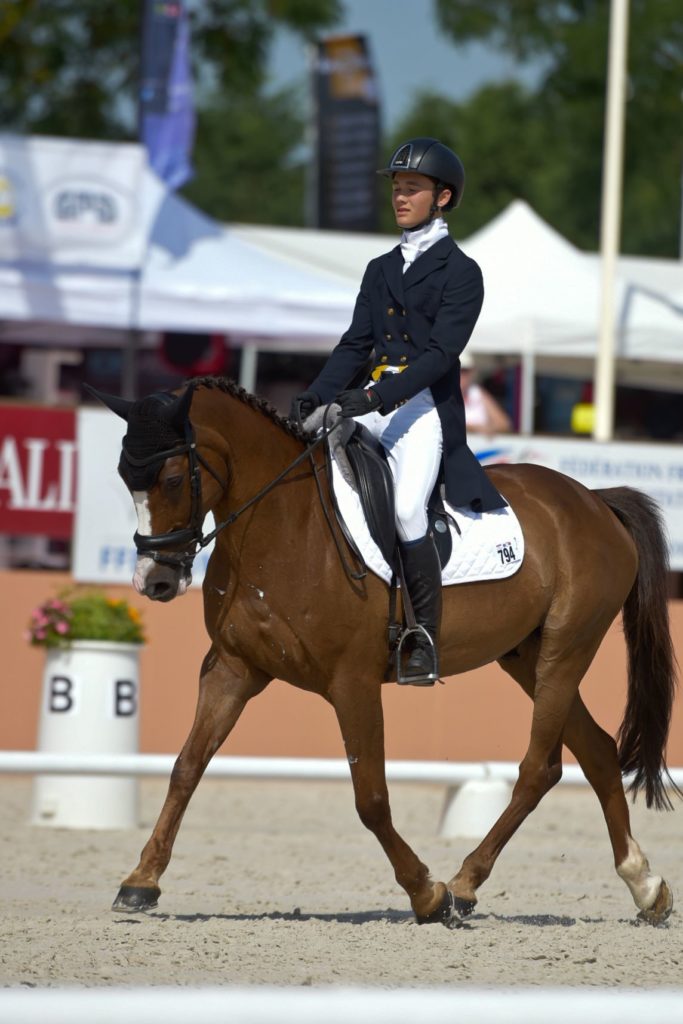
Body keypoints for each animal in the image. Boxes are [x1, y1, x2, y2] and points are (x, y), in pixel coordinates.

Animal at [89, 376, 679, 929]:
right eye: (122, 476)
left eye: (171, 479)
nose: (154, 581)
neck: (283, 524)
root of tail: (595, 500)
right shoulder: (233, 668)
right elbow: (186, 766)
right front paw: (140, 881)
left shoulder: (351, 682)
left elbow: (370, 798)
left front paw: (427, 894)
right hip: (526, 657)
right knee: (596, 751)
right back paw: (645, 885)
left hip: (566, 648)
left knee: (539, 768)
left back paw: (463, 884)